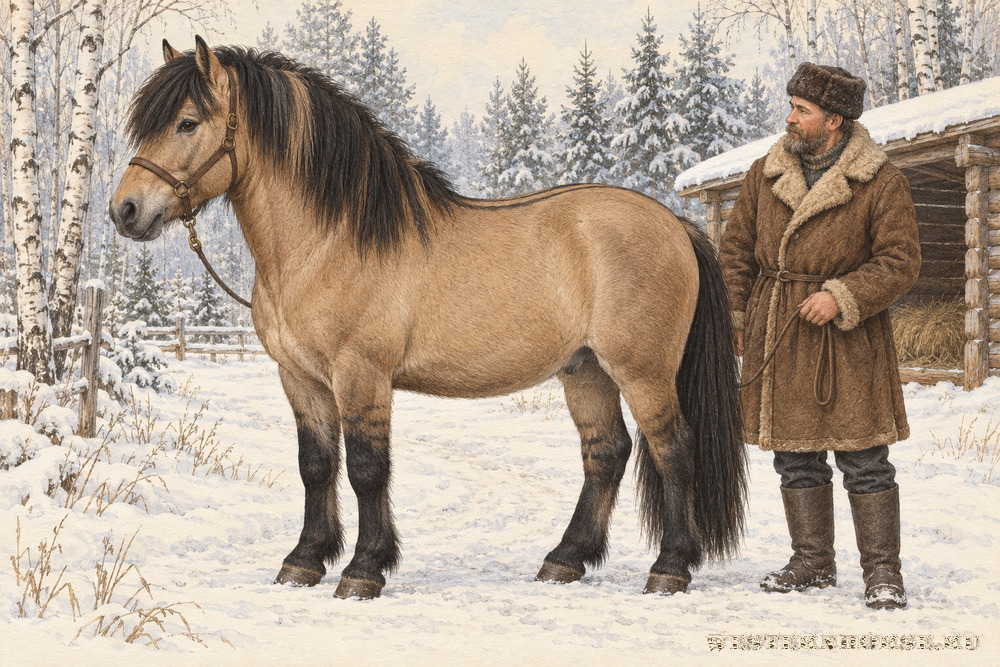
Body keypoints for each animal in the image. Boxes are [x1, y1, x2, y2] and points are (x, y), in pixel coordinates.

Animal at [109, 37, 747, 599]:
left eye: (187, 122)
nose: (125, 210)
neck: (326, 242)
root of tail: (676, 226)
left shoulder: (361, 374)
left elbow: (367, 468)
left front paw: (363, 569)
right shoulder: (301, 378)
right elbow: (316, 465)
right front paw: (304, 561)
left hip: (642, 371)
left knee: (672, 450)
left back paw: (670, 568)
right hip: (585, 369)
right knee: (606, 454)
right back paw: (564, 560)